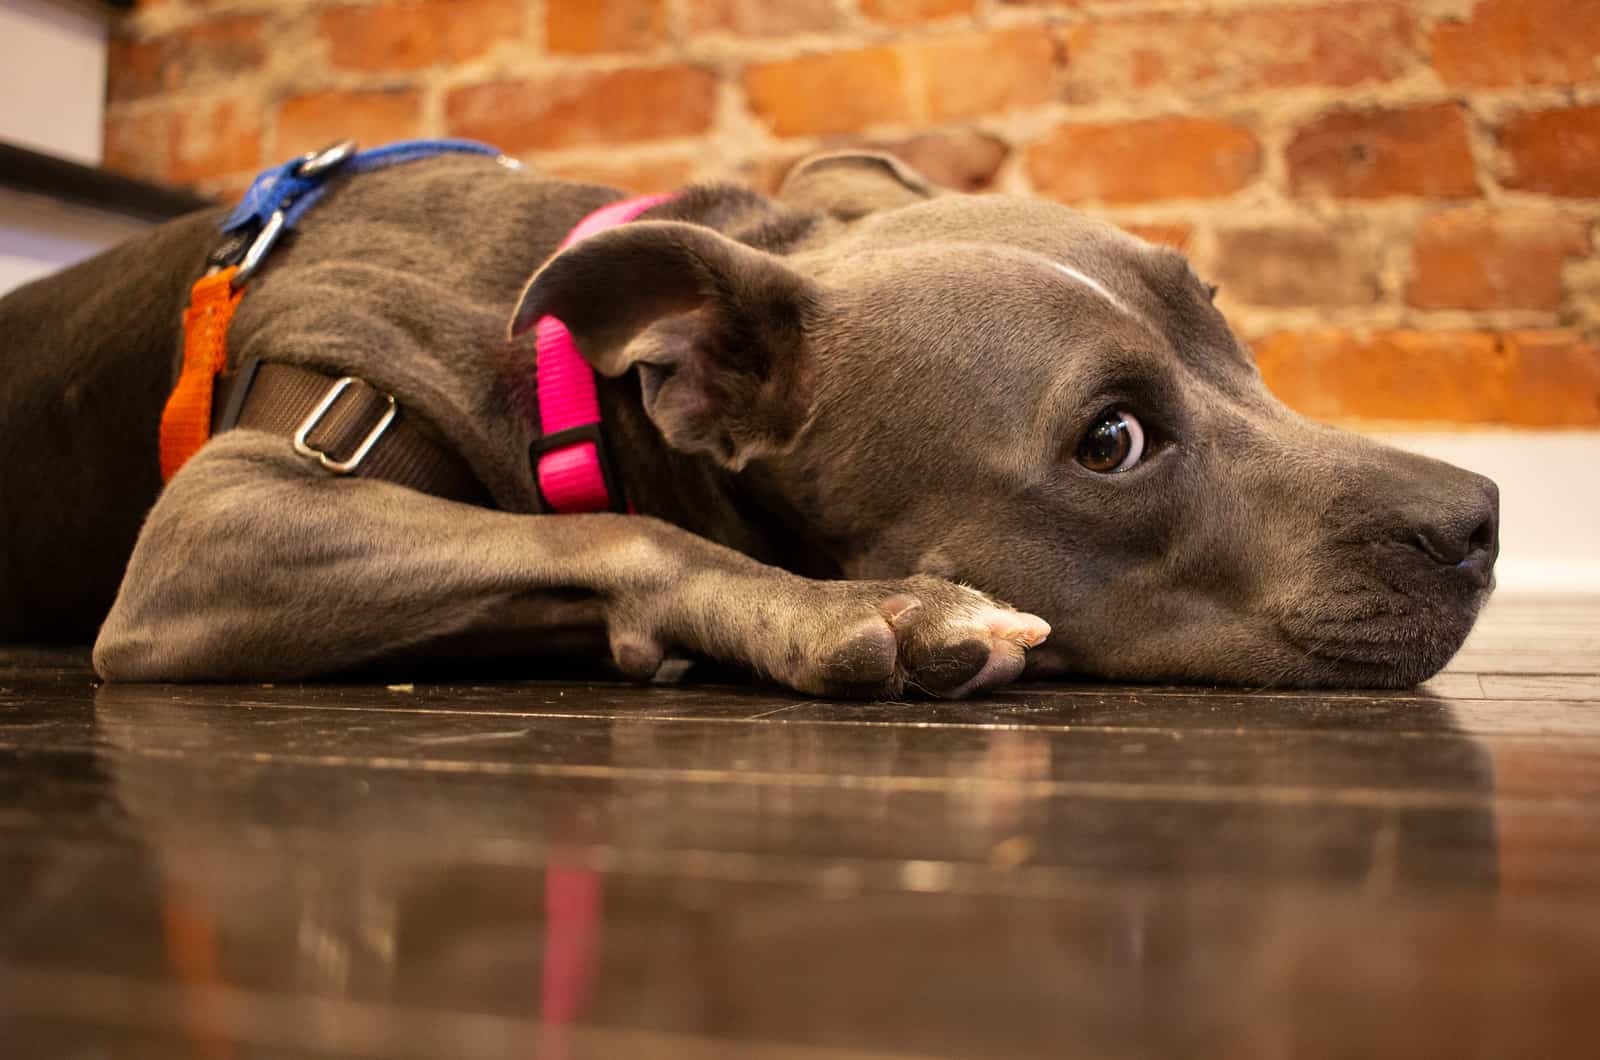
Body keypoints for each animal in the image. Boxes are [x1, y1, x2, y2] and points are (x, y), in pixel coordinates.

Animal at [3, 149, 1497, 698]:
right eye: (1111, 441)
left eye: (1222, 322)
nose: (1479, 518)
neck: (575, 376)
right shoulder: (232, 510)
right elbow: (618, 536)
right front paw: (874, 614)